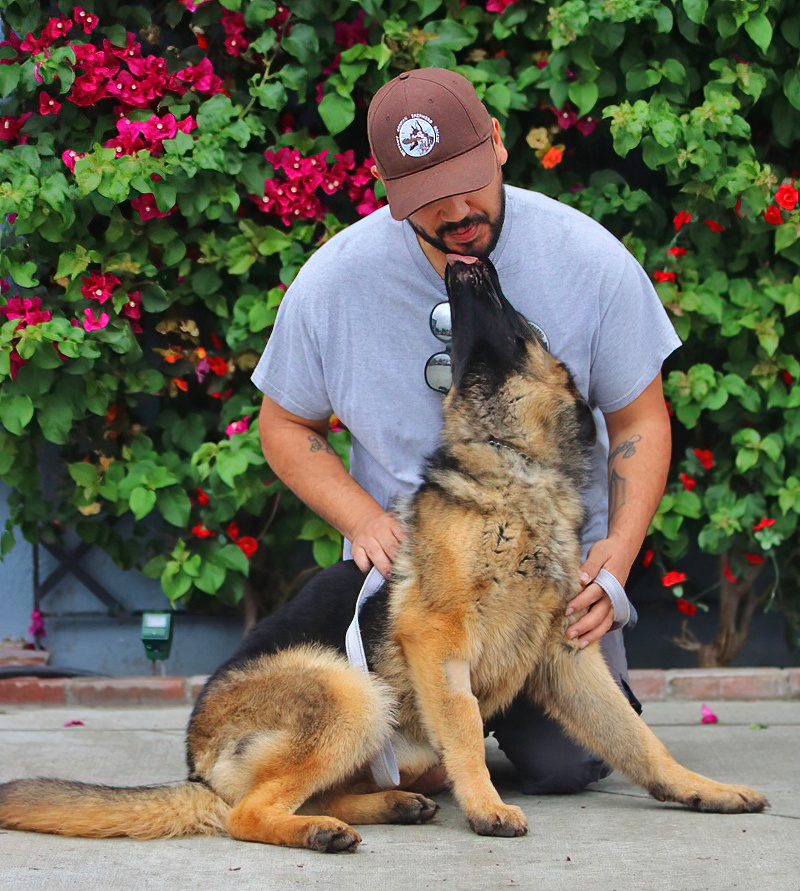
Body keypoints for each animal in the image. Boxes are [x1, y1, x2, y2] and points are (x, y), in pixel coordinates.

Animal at [0, 256, 767, 851]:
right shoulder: (437, 636)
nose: (469, 262)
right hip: (351, 690)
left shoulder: (566, 657)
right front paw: (486, 806)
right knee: (245, 813)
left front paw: (704, 790)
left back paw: (381, 806)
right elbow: (466, 727)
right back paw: (321, 830)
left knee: (303, 794)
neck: (514, 469)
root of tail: (197, 768)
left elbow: (642, 741)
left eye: (520, 319)